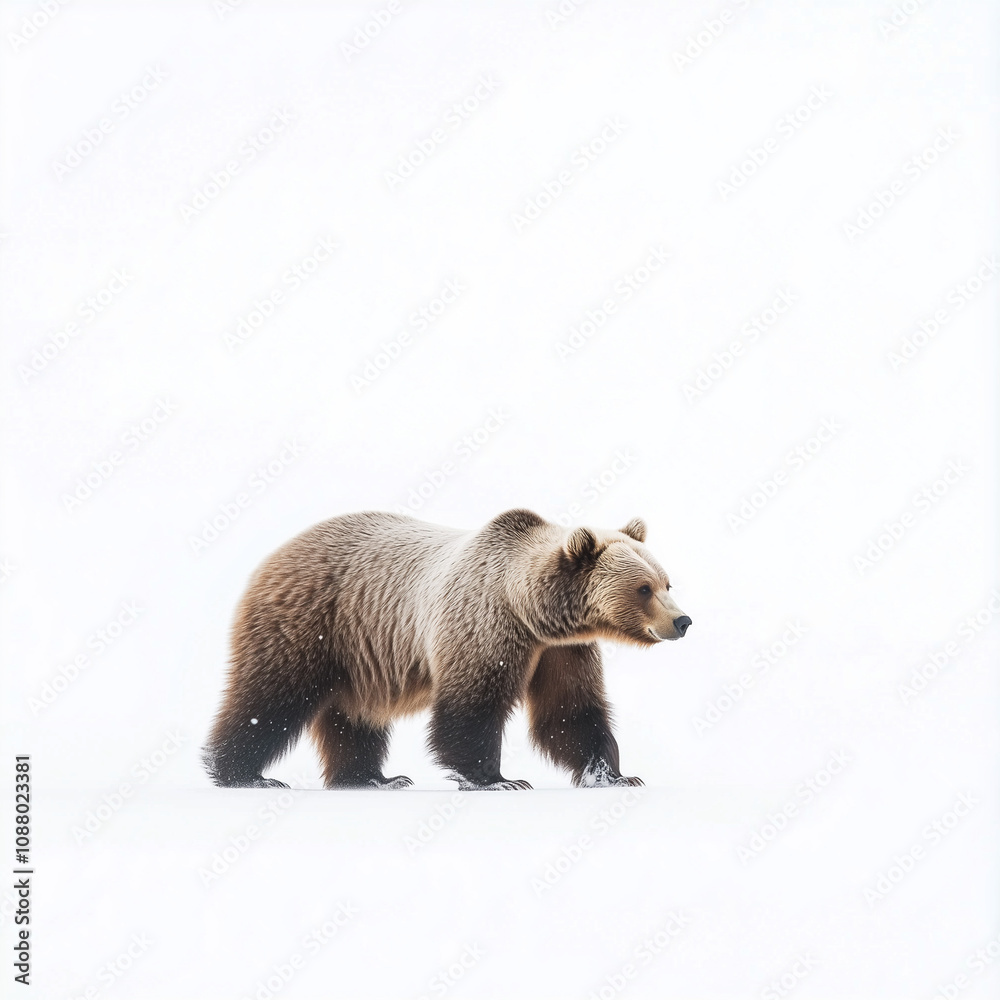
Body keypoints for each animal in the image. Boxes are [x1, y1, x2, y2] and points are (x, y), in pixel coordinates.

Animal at [203, 508, 690, 791]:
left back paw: (372, 777)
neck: (531, 611)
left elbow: (570, 710)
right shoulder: (485, 626)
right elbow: (472, 707)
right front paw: (497, 780)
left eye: (667, 582)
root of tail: (276, 553)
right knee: (270, 698)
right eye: (643, 588)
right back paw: (241, 774)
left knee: (355, 715)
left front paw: (614, 774)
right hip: (309, 624)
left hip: (357, 655)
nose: (682, 621)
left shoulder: (562, 651)